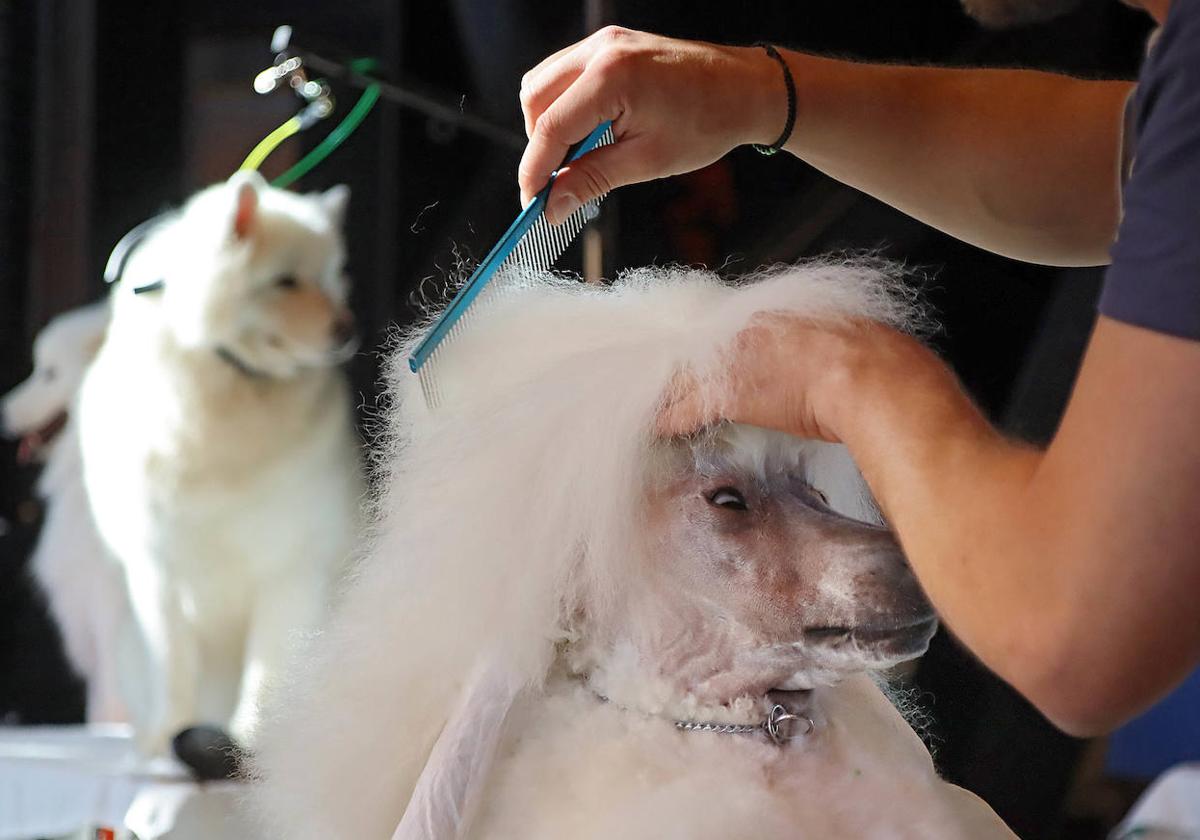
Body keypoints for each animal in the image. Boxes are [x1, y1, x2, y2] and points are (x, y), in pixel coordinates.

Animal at [76, 172, 362, 753]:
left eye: (332, 278)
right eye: (286, 281)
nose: (348, 331)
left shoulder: (289, 569)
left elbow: (268, 671)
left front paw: (251, 739)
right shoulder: (158, 569)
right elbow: (173, 666)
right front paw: (165, 740)